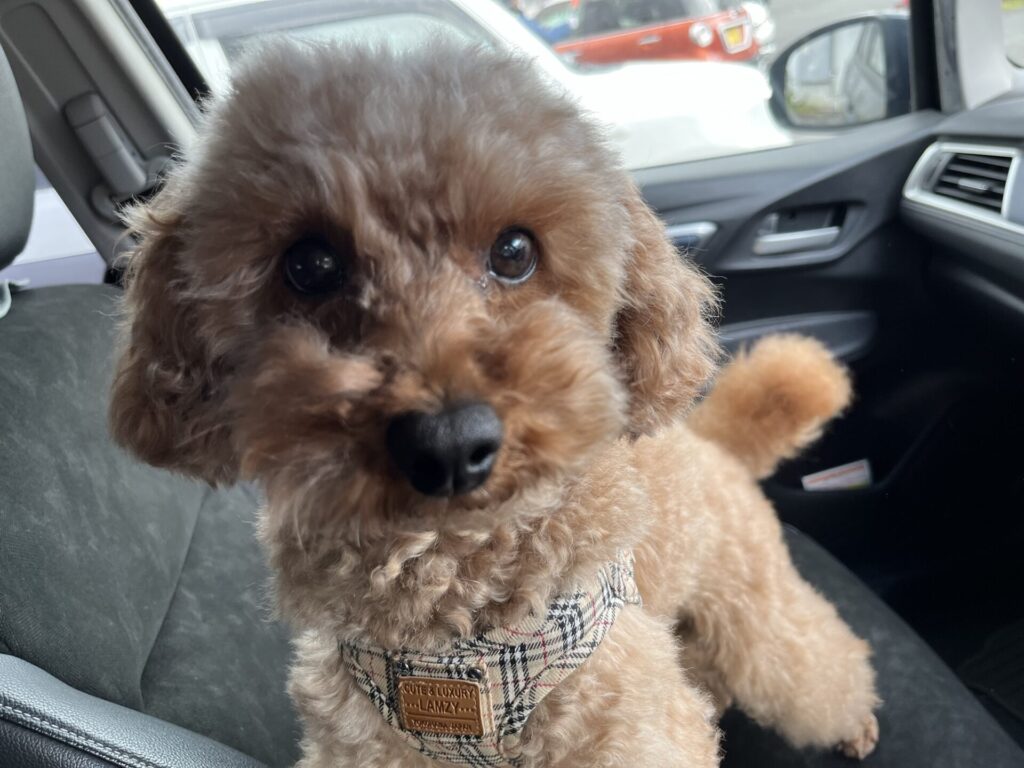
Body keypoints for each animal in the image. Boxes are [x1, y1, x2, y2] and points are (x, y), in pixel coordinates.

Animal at [109, 41, 879, 767]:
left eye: (514, 251)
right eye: (309, 265)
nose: (448, 443)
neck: (454, 622)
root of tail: (712, 441)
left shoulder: (626, 721)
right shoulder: (359, 739)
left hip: (751, 607)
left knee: (814, 662)